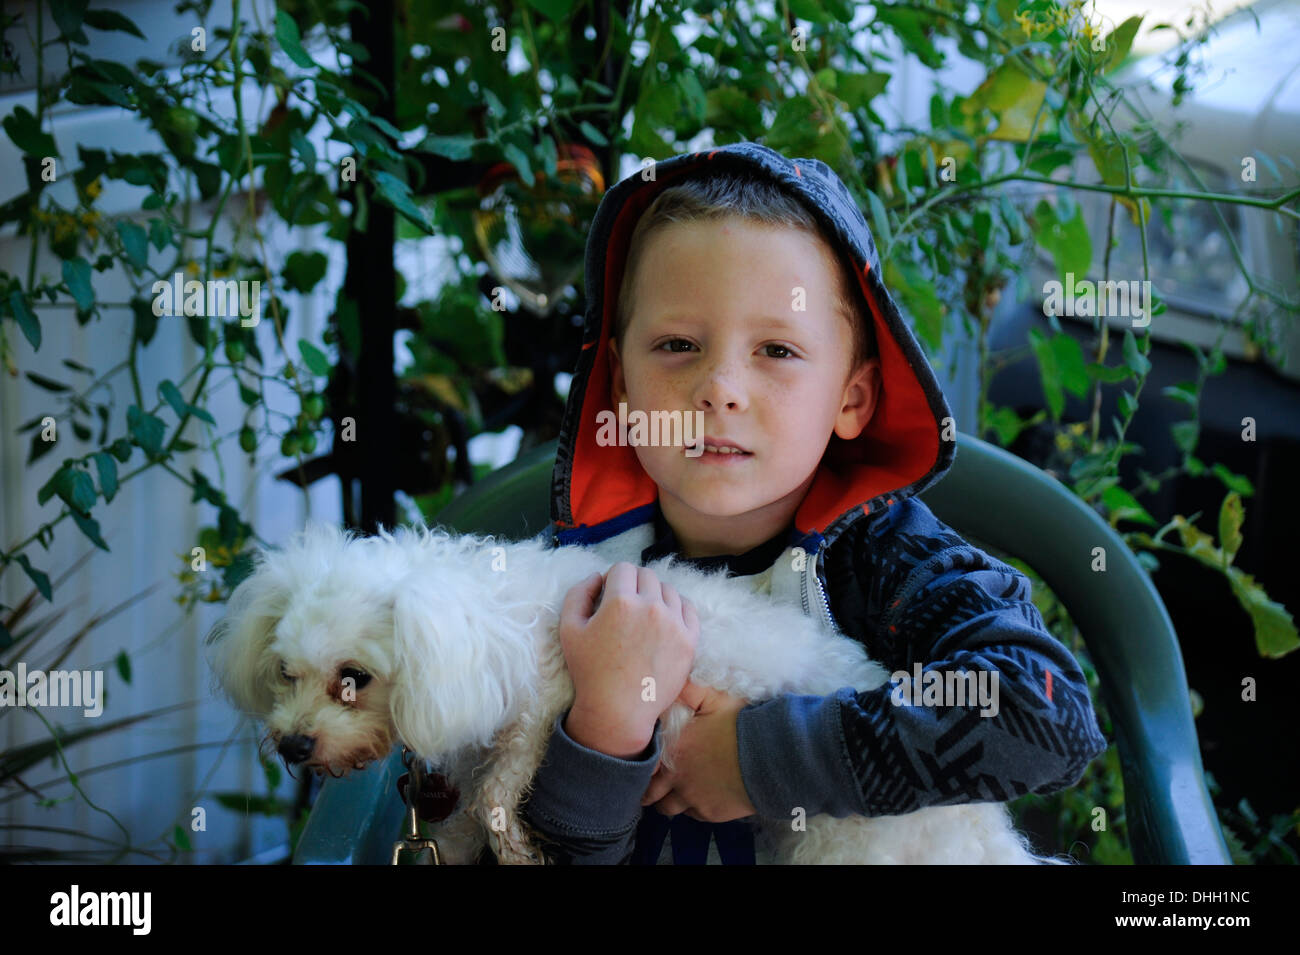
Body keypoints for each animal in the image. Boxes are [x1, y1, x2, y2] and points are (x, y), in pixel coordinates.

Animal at [208, 522, 1060, 867]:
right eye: (286, 672)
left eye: (354, 678)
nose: (293, 744)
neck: (484, 622)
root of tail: (977, 825)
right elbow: (466, 806)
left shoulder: (547, 699)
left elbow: (504, 784)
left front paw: (514, 839)